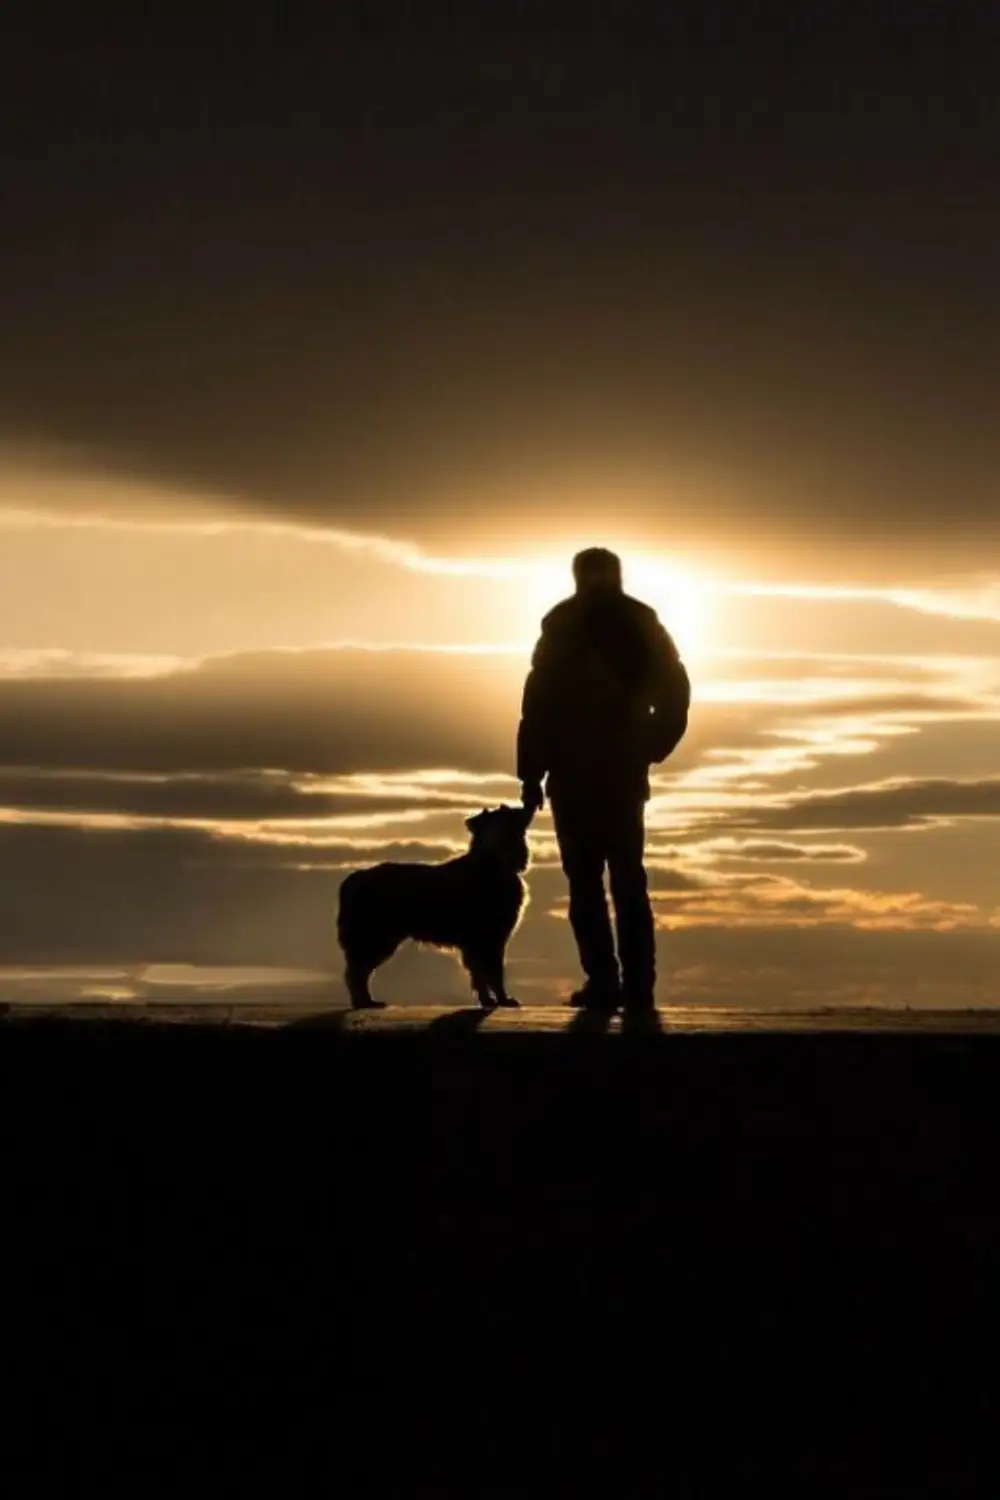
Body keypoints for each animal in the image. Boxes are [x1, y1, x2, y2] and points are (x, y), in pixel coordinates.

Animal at [338, 804, 530, 1014]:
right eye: (493, 825)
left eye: (506, 822)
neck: (492, 866)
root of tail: (354, 879)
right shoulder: (486, 939)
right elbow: (493, 973)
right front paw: (500, 1000)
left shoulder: (482, 942)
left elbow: (482, 975)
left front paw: (489, 1000)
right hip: (376, 939)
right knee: (356, 972)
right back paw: (364, 1002)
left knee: (358, 971)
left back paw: (366, 1001)